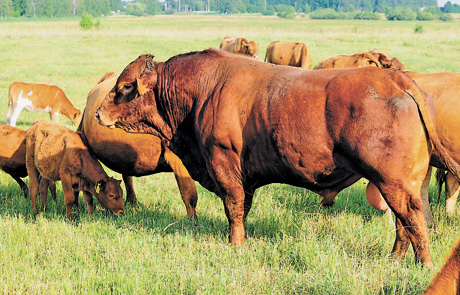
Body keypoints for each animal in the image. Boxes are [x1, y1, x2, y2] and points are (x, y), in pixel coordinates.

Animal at [94, 49, 460, 268]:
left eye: (124, 87)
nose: (97, 113)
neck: (203, 90)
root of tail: (396, 80)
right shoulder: (244, 176)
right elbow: (242, 208)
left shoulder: (223, 163)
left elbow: (233, 207)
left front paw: (236, 246)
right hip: (403, 181)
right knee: (405, 221)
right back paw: (395, 259)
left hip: (393, 181)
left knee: (413, 218)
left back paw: (424, 265)